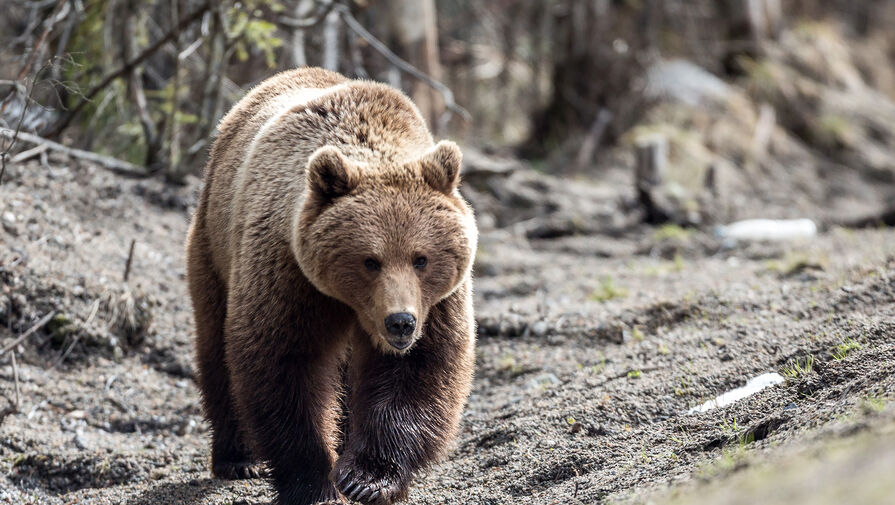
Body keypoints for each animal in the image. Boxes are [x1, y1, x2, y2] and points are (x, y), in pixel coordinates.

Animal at [185, 66, 477, 505]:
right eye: (370, 260)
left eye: (421, 258)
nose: (400, 322)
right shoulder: (288, 273)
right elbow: (284, 363)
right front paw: (314, 482)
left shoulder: (437, 302)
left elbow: (418, 369)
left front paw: (366, 477)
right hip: (213, 244)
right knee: (216, 346)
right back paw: (238, 458)